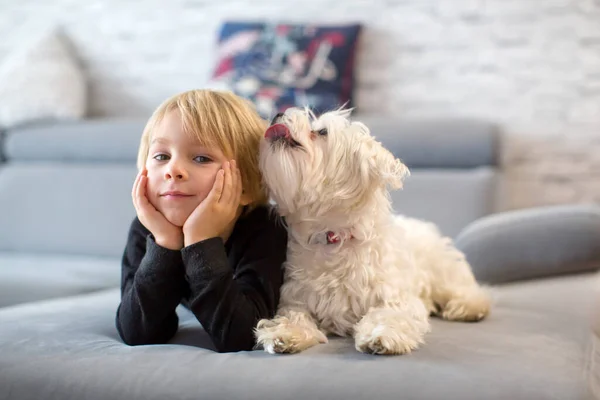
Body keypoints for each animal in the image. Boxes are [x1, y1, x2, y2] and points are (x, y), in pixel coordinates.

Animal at [254, 108, 492, 354]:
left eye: (322, 132)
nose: (279, 112)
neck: (332, 236)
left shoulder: (396, 298)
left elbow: (388, 315)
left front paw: (381, 336)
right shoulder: (295, 299)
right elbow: (294, 316)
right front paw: (284, 334)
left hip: (442, 271)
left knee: (470, 291)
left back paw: (467, 307)